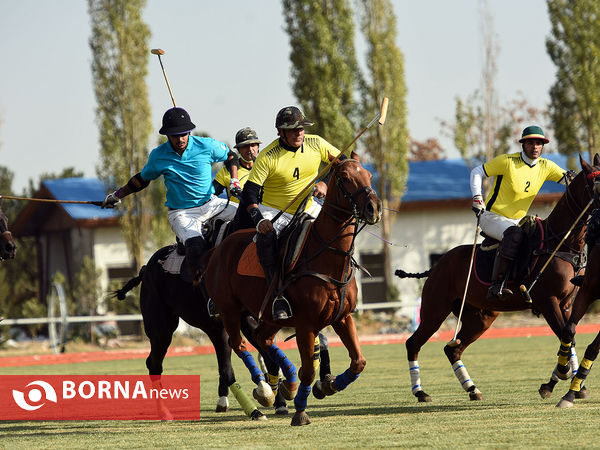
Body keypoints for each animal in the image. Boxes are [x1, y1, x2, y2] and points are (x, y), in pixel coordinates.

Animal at [112, 244, 298, 420]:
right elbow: (237, 366)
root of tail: (146, 268)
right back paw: (164, 412)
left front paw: (278, 397)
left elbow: (269, 360)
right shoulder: (232, 323)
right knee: (154, 364)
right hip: (162, 329)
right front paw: (259, 404)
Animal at [204, 155, 382, 426]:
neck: (328, 256)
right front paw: (300, 411)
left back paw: (285, 383)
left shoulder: (342, 317)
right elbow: (308, 370)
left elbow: (358, 362)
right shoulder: (306, 324)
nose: (374, 207)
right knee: (240, 344)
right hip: (229, 308)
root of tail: (219, 247)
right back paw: (266, 391)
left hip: (269, 315)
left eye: (369, 175)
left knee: (262, 338)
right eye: (344, 177)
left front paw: (327, 386)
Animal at [398, 155, 600, 400]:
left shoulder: (567, 303)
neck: (562, 242)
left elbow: (569, 335)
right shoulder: (547, 300)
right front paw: (562, 376)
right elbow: (566, 335)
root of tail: (436, 266)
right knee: (413, 343)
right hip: (435, 309)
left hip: (481, 317)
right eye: (596, 183)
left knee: (452, 348)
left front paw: (573, 385)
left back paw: (472, 388)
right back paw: (420, 392)